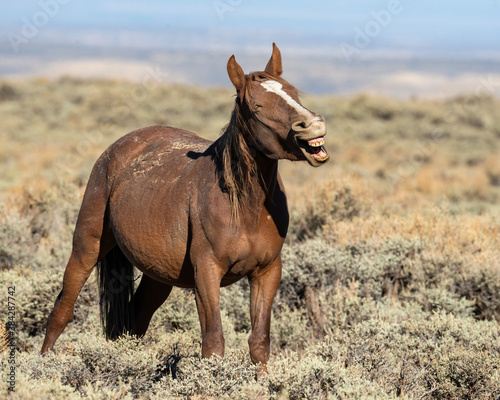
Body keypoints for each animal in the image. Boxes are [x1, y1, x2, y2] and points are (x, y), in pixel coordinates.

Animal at [41, 43, 330, 372]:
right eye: (257, 106)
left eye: (294, 93)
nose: (314, 125)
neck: (246, 207)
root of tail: (120, 147)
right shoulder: (206, 272)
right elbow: (214, 342)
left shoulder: (267, 271)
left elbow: (259, 342)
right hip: (87, 246)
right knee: (63, 308)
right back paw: (43, 364)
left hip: (156, 274)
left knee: (134, 321)